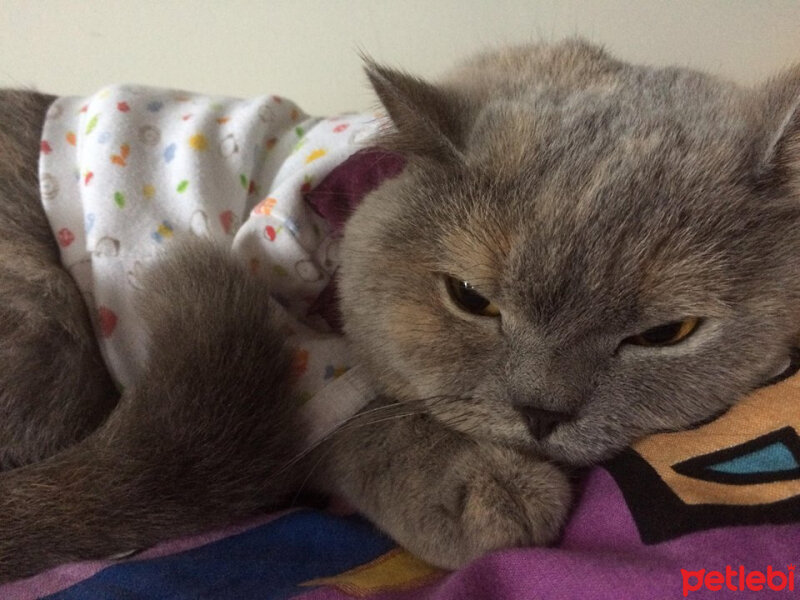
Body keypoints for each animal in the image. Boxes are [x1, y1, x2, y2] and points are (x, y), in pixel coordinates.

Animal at [1, 38, 800, 580]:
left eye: (667, 333)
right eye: (470, 299)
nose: (542, 412)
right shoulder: (290, 340)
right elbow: (365, 420)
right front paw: (479, 487)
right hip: (48, 325)